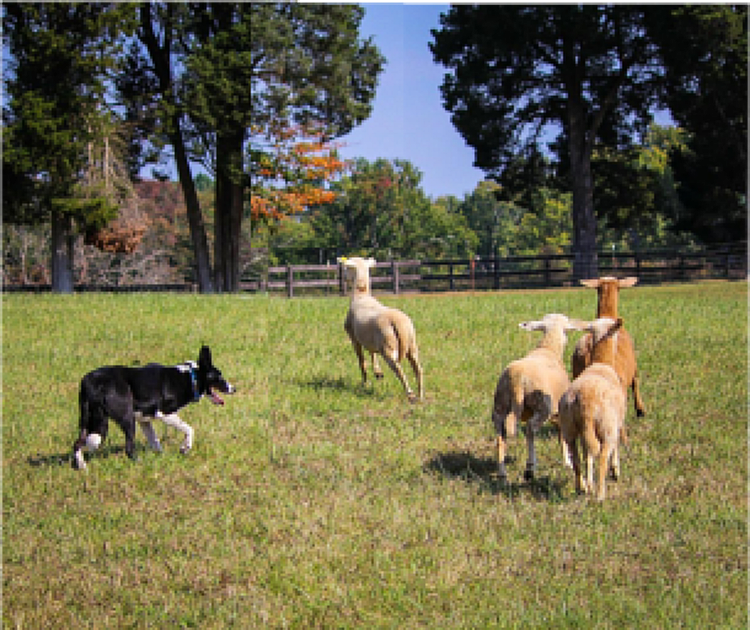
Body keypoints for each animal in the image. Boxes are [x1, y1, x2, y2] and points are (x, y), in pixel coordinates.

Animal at [72, 345, 235, 470]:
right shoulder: (165, 414)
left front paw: (161, 457)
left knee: (77, 443)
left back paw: (82, 466)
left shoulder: (144, 420)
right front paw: (185, 448)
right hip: (125, 419)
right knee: (128, 448)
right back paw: (139, 463)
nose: (234, 389)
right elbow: (189, 429)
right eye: (219, 377)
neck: (191, 377)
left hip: (88, 420)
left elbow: (154, 440)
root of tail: (89, 382)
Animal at [338, 256, 424, 402]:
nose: (343, 278)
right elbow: (372, 353)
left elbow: (362, 362)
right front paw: (378, 373)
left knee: (398, 369)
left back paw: (410, 393)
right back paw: (421, 395)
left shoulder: (354, 338)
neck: (361, 295)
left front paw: (365, 383)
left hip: (388, 347)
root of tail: (397, 322)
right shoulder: (370, 339)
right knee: (418, 369)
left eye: (346, 268)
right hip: (412, 344)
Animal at [491, 313, 587, 481]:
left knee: (501, 437)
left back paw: (502, 473)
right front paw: (567, 462)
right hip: (542, 406)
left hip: (499, 406)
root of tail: (517, 377)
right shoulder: (559, 410)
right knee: (530, 429)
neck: (548, 348)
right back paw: (530, 468)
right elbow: (562, 436)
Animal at [558, 317, 626, 501]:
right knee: (602, 457)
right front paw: (616, 470)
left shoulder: (585, 432)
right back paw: (600, 494)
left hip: (569, 428)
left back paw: (581, 487)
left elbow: (587, 455)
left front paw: (589, 484)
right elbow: (615, 447)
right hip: (606, 426)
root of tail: (585, 402)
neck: (601, 362)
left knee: (576, 459)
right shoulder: (617, 424)